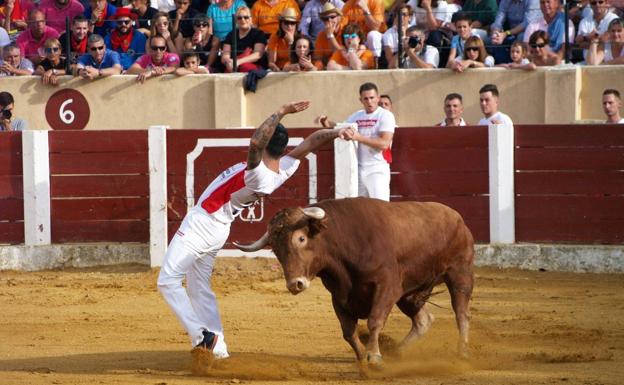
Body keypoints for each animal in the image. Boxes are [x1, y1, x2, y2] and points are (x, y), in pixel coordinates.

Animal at [236, 196, 476, 368]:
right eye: (275, 250)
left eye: (301, 238)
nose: (295, 284)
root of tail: (456, 217)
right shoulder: (339, 296)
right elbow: (348, 331)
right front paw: (363, 357)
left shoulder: (387, 287)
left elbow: (374, 321)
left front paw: (374, 355)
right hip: (409, 294)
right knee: (423, 320)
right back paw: (398, 352)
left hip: (460, 273)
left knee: (461, 312)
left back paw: (463, 351)